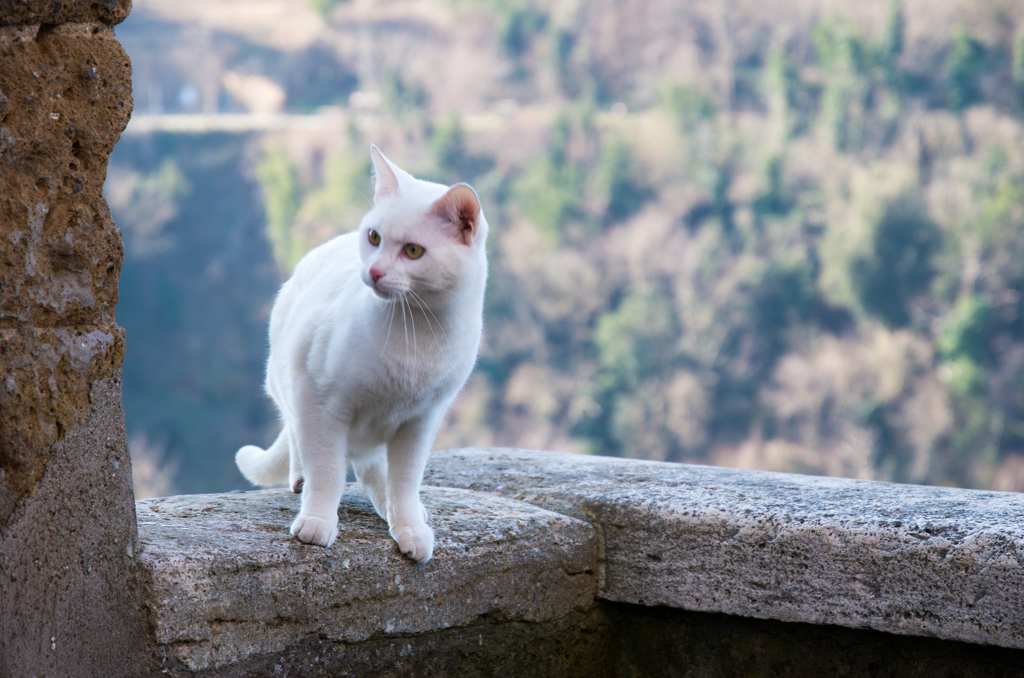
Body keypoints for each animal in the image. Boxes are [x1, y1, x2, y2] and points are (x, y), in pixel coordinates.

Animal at [235, 146, 487, 565]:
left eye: (413, 250)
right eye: (374, 237)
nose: (374, 271)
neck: (416, 333)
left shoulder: (421, 422)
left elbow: (406, 480)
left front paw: (408, 524)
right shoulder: (318, 400)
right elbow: (327, 470)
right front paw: (318, 520)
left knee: (373, 471)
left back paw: (393, 507)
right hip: (286, 382)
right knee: (302, 440)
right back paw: (301, 478)